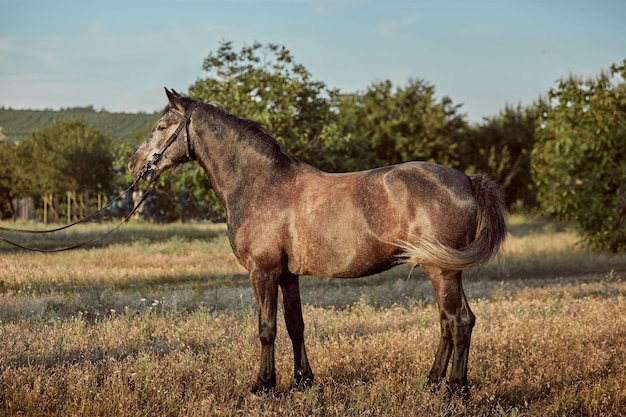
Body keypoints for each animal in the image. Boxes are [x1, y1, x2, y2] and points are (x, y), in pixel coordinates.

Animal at [129, 88, 504, 396]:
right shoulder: (287, 275)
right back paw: (432, 382)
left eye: (162, 126)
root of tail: (469, 181)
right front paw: (301, 381)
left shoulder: (263, 272)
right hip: (444, 269)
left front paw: (264, 385)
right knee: (451, 321)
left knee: (458, 321)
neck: (262, 185)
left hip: (442, 270)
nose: (135, 164)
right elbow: (295, 325)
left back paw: (456, 389)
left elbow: (267, 328)